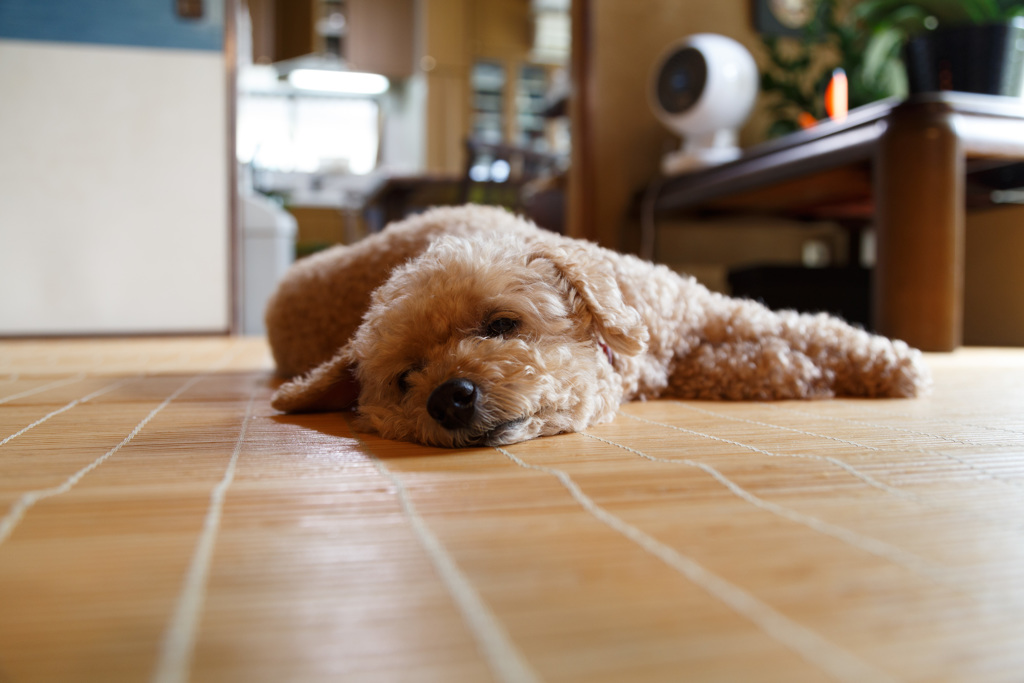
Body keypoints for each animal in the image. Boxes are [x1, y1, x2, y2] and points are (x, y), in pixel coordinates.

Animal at [266, 204, 929, 448]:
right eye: (406, 378)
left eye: (501, 324)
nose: (449, 398)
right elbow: (764, 361)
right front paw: (803, 372)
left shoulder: (711, 313)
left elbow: (814, 329)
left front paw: (895, 363)